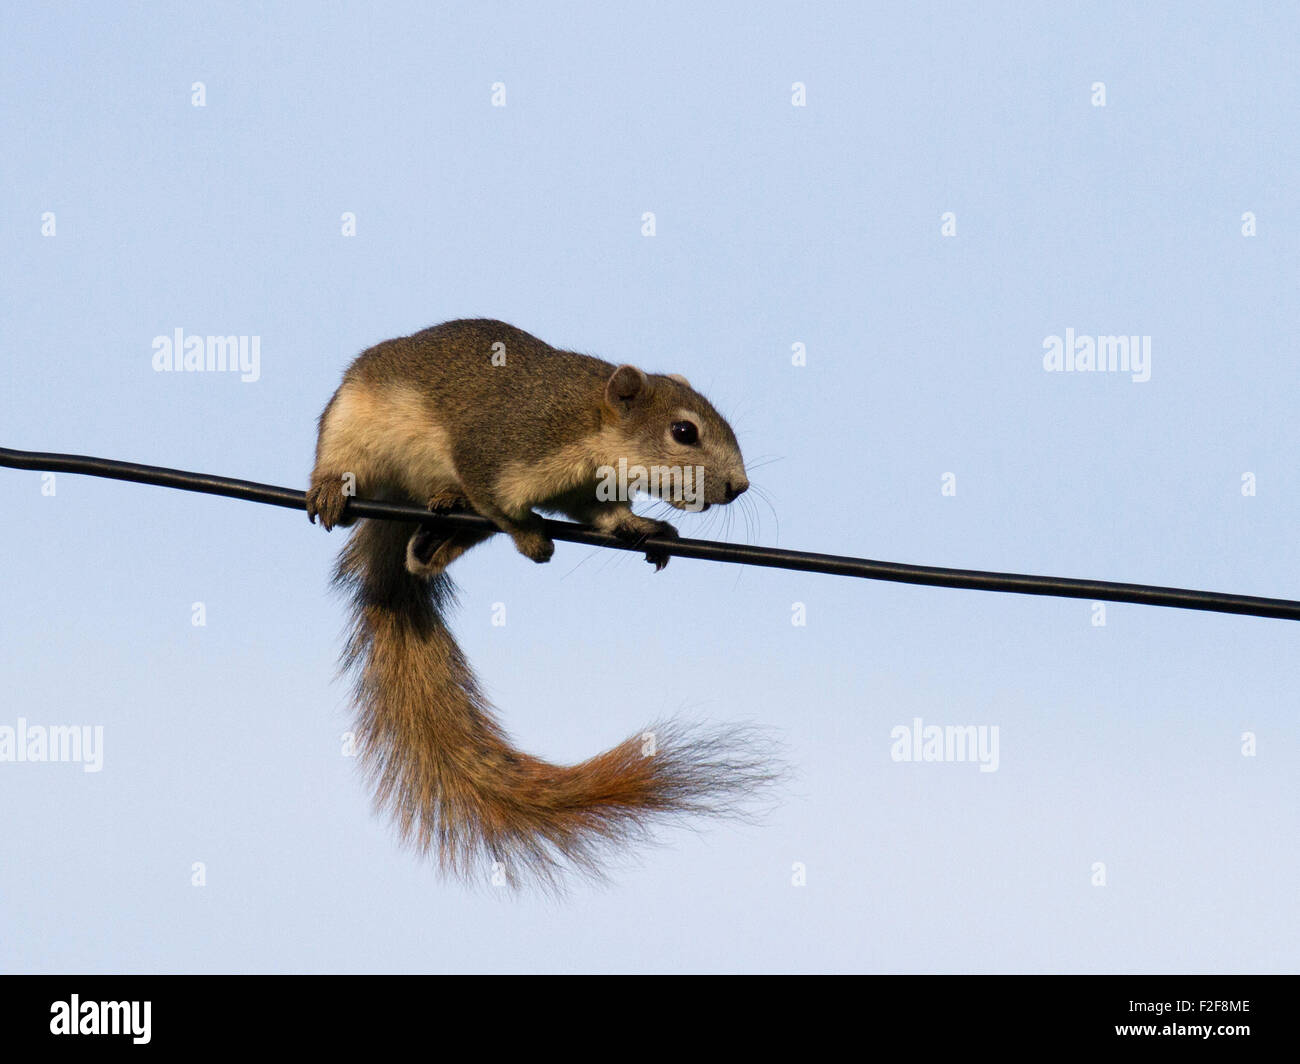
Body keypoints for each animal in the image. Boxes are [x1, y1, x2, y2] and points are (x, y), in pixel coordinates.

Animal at [304, 317, 769, 889]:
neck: (589, 422)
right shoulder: (500, 448)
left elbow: (606, 517)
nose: (737, 486)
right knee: (346, 468)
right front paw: (530, 537)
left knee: (426, 552)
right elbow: (497, 500)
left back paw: (434, 535)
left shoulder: (585, 492)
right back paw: (335, 491)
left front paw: (640, 525)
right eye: (684, 432)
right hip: (350, 426)